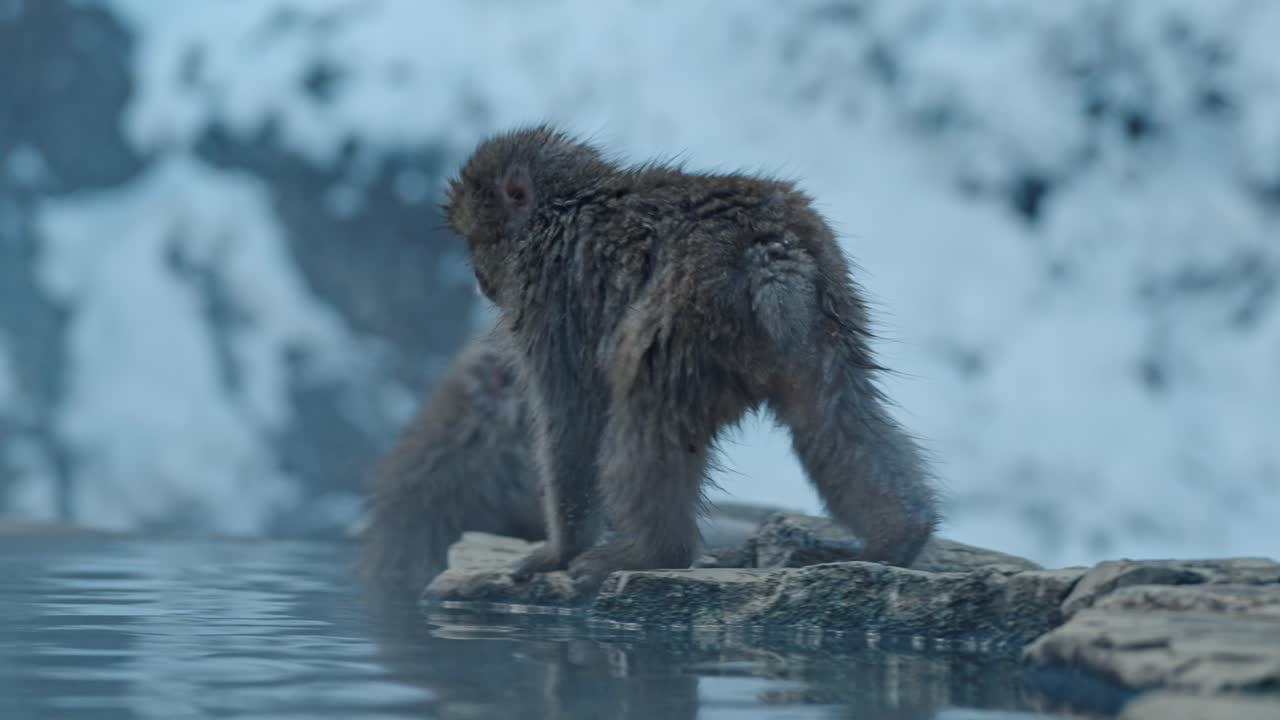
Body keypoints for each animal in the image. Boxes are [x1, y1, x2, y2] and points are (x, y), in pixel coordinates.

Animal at [442, 125, 940, 588]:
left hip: (690, 324)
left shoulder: (551, 296)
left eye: (475, 239)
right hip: (825, 317)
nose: (479, 277)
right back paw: (901, 534)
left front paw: (558, 553)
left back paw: (653, 553)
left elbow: (572, 414)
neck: (562, 205)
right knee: (831, 412)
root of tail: (769, 248)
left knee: (647, 420)